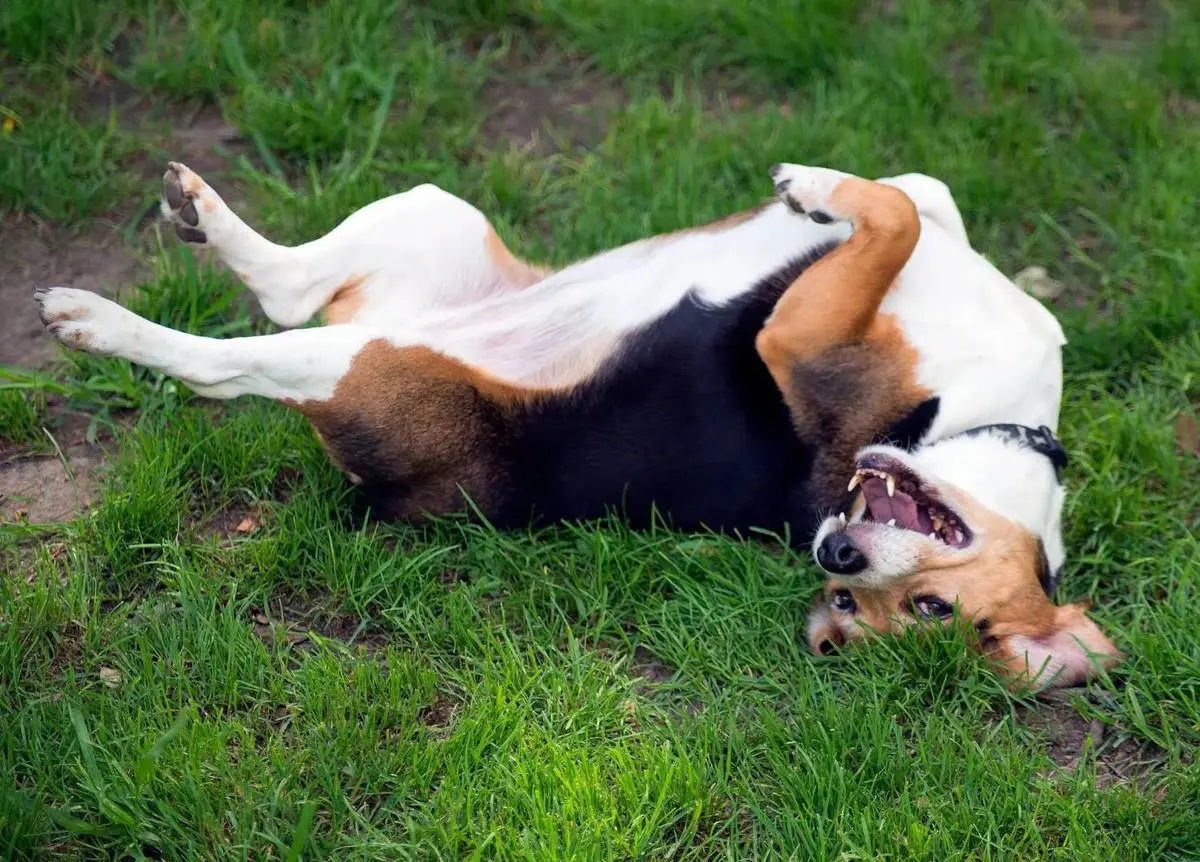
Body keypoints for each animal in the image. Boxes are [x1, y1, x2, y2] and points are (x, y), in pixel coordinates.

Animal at [37, 160, 1118, 686]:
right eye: (859, 602)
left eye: (921, 613)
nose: (834, 551)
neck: (997, 420)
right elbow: (910, 201)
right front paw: (812, 190)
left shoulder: (795, 336)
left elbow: (888, 215)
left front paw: (816, 189)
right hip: (429, 216)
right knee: (286, 281)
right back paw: (196, 214)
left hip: (355, 365)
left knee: (232, 359)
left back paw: (96, 319)